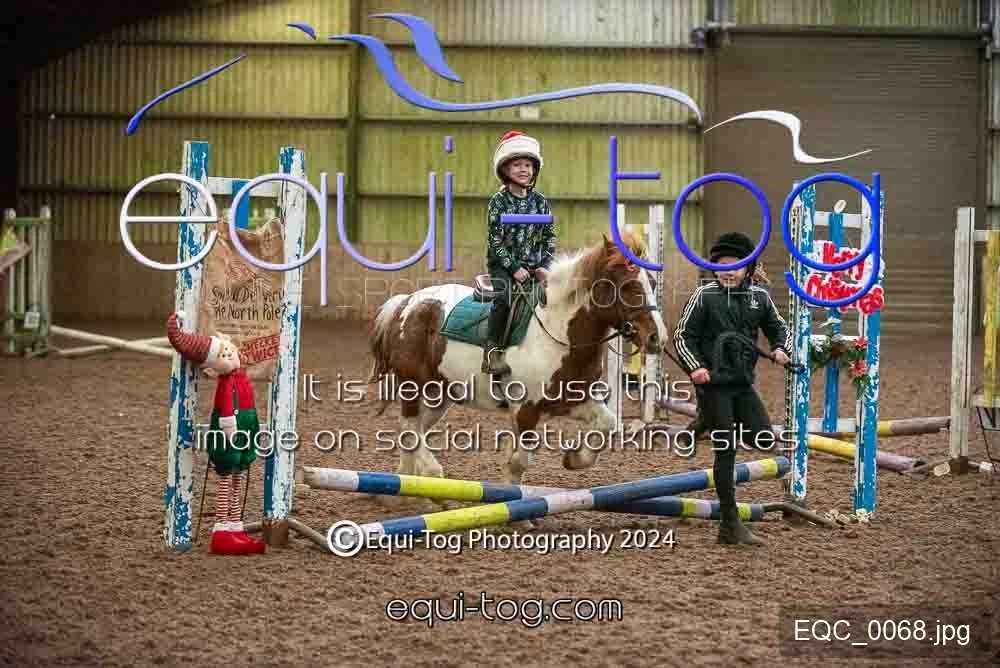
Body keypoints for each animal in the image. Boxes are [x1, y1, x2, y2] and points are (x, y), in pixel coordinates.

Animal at [365, 230, 668, 485]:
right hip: (413, 387)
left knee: (411, 430)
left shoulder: (572, 400)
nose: (658, 338)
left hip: (441, 395)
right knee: (410, 429)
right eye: (628, 286)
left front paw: (574, 458)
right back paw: (431, 473)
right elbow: (519, 461)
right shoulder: (525, 409)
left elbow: (607, 424)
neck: (556, 332)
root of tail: (406, 303)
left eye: (652, 283)